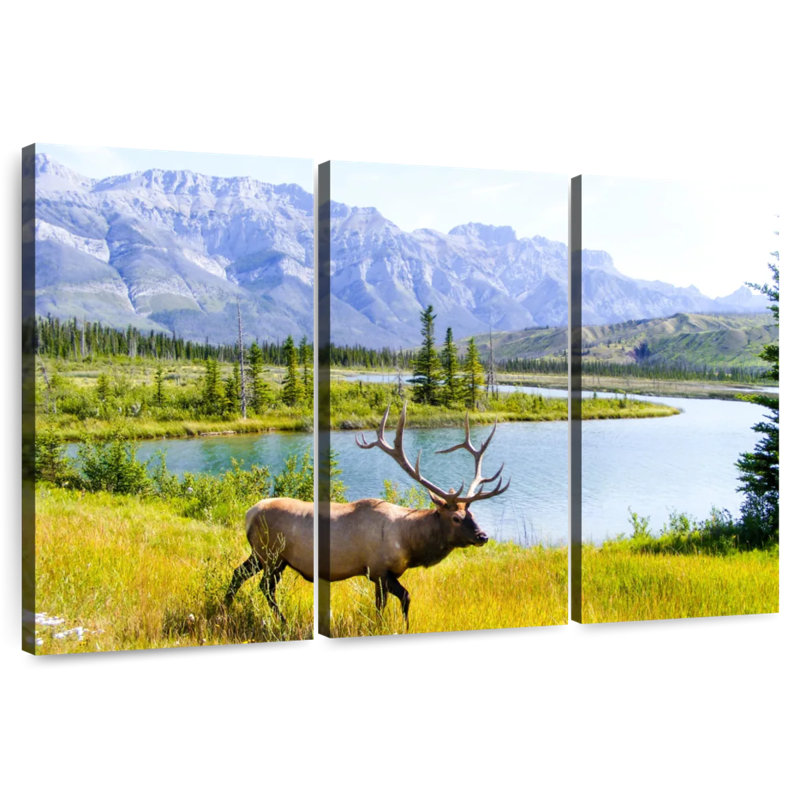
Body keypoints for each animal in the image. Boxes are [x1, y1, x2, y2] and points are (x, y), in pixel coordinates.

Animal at [224, 401, 510, 628]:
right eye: (456, 518)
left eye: (471, 513)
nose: (483, 536)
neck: (409, 543)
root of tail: (248, 514)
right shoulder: (379, 570)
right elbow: (403, 599)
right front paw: (399, 627)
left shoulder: (380, 575)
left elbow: (383, 603)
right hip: (271, 554)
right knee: (265, 587)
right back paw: (280, 621)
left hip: (264, 555)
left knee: (238, 574)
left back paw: (226, 608)